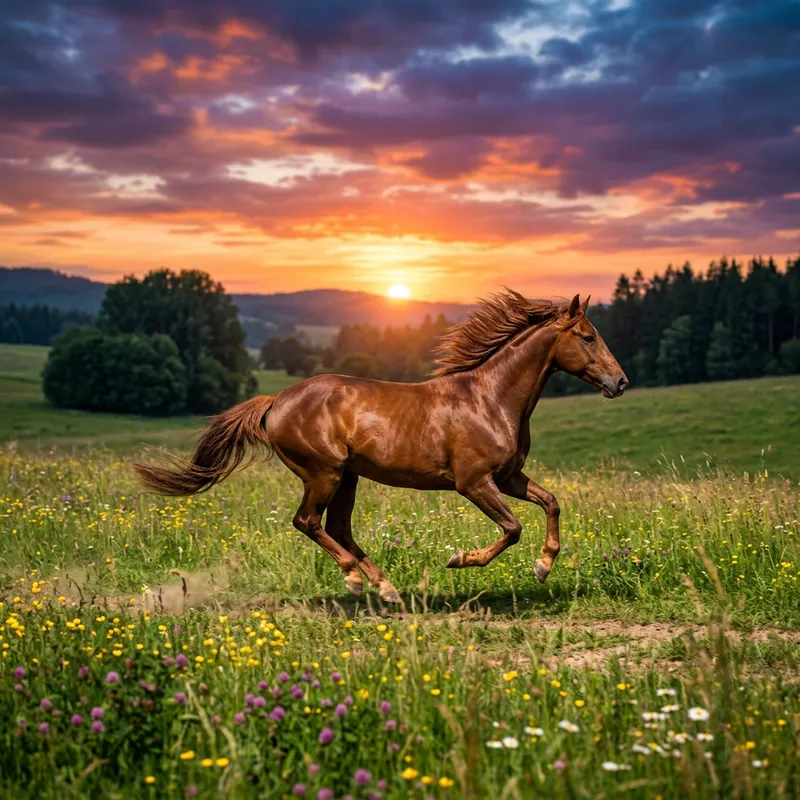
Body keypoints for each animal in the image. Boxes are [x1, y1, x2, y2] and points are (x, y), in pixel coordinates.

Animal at [134, 290, 628, 603]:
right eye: (588, 336)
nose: (620, 382)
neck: (490, 398)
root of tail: (276, 401)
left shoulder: (507, 477)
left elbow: (551, 503)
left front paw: (543, 567)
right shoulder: (474, 483)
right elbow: (512, 529)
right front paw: (459, 559)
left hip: (348, 476)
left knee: (338, 528)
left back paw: (385, 588)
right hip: (324, 472)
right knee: (307, 522)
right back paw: (355, 580)